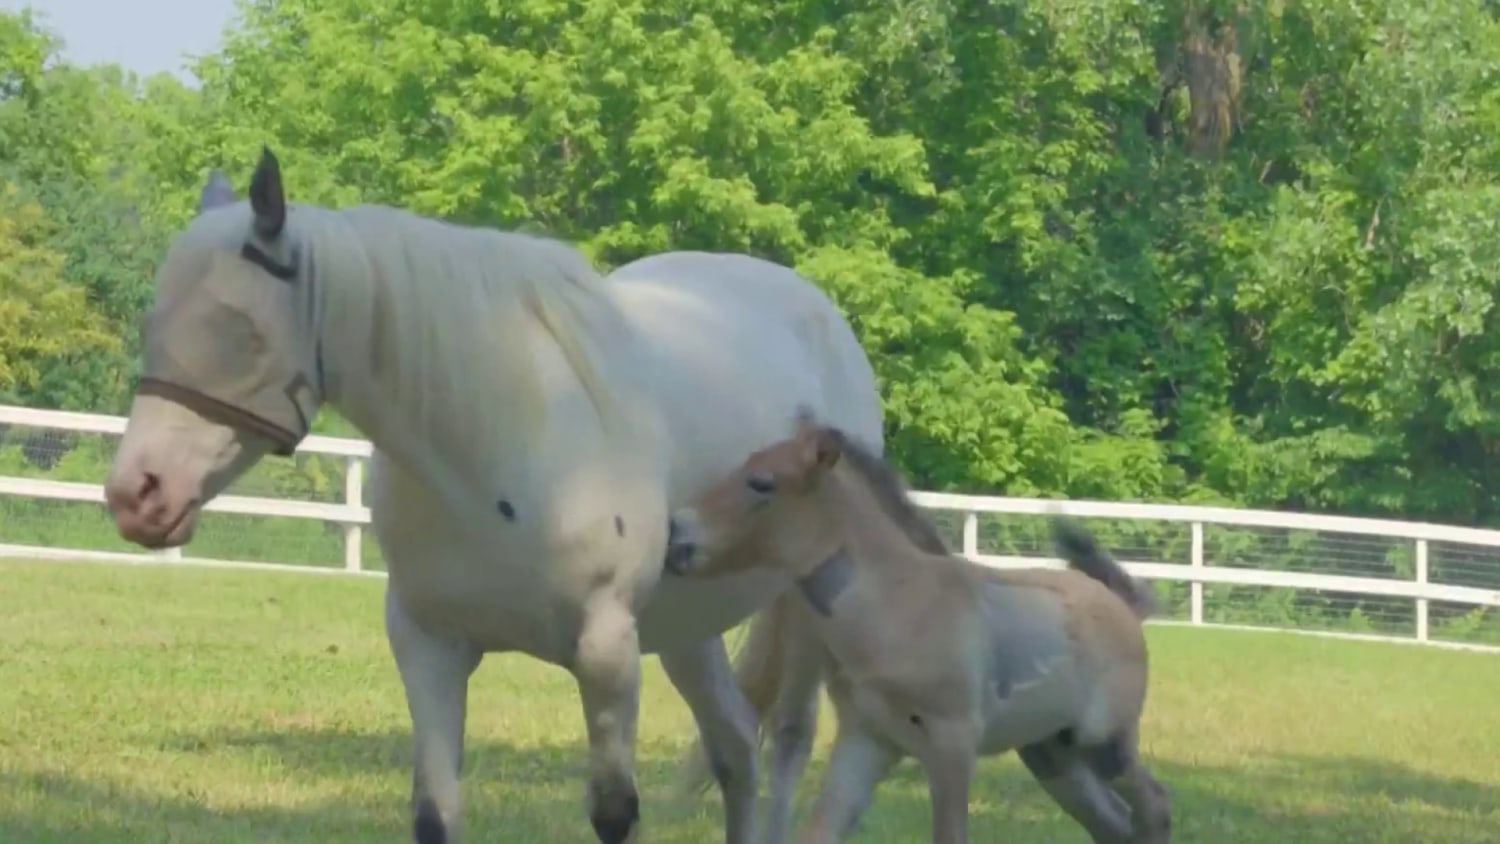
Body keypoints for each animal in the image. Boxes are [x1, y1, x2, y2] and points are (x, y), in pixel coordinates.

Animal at [101, 146, 885, 844]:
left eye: (241, 331)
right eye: (152, 323)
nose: (137, 493)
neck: (499, 443)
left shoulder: (607, 654)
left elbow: (615, 815)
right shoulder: (427, 646)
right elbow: (435, 815)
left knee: (787, 745)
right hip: (688, 629)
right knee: (735, 748)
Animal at [663, 410, 1173, 844]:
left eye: (761, 483)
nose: (675, 538)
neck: (899, 605)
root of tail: (1126, 607)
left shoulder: (952, 744)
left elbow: (949, 835)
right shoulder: (867, 741)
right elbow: (819, 833)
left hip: (1105, 742)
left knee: (1154, 810)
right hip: (1052, 752)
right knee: (1116, 826)